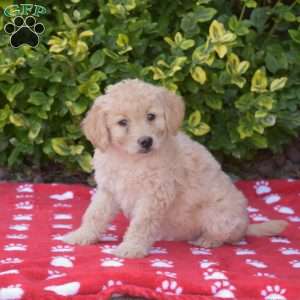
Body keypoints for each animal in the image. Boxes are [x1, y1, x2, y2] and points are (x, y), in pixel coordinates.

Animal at [62, 79, 288, 258]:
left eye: (151, 116)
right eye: (122, 122)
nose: (146, 141)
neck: (130, 160)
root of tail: (246, 224)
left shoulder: (155, 194)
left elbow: (142, 223)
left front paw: (132, 248)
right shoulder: (108, 189)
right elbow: (95, 214)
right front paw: (81, 235)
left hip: (219, 215)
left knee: (229, 235)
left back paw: (208, 240)